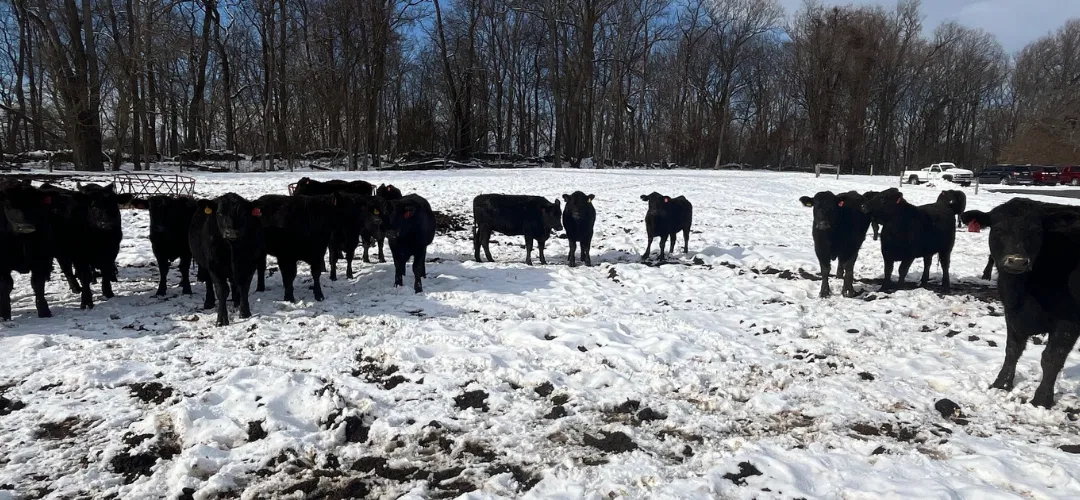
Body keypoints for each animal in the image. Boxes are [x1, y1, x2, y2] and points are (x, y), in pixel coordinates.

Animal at [0, 183, 55, 319]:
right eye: (7, 204)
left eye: (35, 204)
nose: (25, 226)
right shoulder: (2, 264)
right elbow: (6, 284)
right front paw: (4, 313)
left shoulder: (42, 259)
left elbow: (38, 284)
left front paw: (44, 311)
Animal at [189, 193, 263, 327]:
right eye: (219, 213)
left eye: (243, 213)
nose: (231, 233)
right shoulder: (215, 266)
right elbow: (222, 291)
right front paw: (221, 320)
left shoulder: (250, 264)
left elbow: (244, 287)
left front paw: (245, 312)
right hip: (205, 265)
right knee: (208, 282)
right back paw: (209, 302)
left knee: (234, 283)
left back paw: (236, 300)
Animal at [961, 198, 1080, 408]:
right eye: (998, 229)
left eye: (1037, 231)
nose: (1016, 261)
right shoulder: (1011, 311)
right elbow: (1012, 349)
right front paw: (1000, 384)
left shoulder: (1069, 319)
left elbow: (1052, 358)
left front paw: (1041, 400)